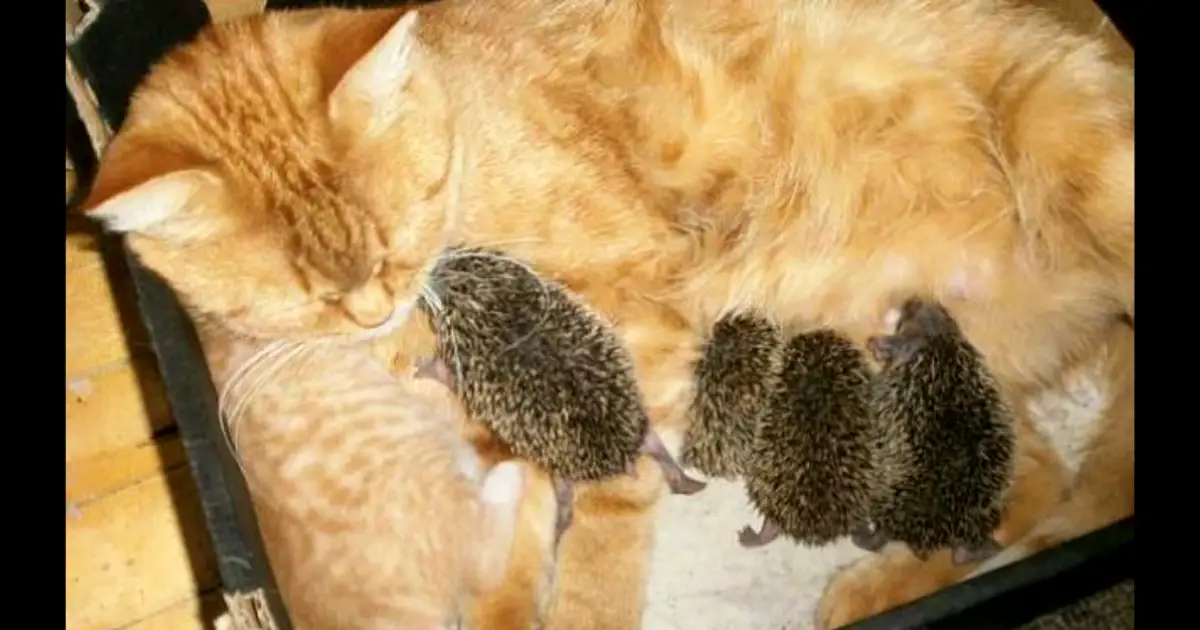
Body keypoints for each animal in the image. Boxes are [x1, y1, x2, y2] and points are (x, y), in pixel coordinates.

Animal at [82, 1, 1132, 624]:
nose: (376, 305)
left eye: (402, 223)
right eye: (309, 294)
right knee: (1029, 485)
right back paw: (881, 585)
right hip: (926, 368)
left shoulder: (641, 326)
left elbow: (602, 523)